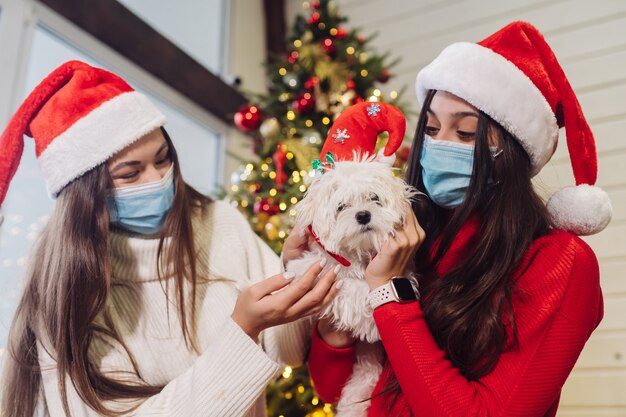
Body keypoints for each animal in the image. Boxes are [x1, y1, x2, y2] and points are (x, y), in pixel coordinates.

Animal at [286, 154, 414, 416]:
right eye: (341, 206)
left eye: (374, 198)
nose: (363, 215)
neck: (358, 253)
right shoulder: (316, 267)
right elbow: (339, 284)